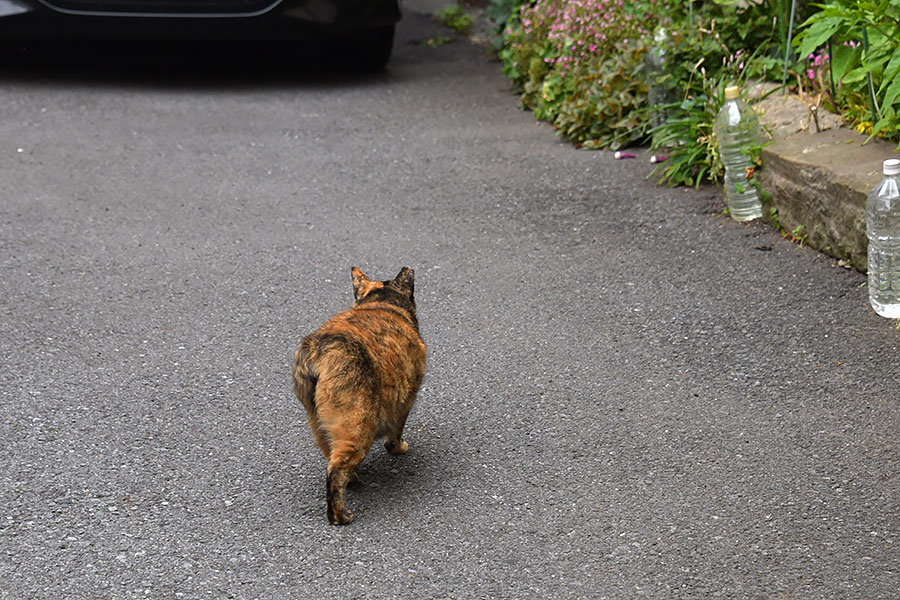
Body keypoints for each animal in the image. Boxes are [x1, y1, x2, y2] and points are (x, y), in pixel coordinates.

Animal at [292, 268, 426, 524]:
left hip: (319, 425)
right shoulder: (405, 402)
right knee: (335, 471)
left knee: (332, 458)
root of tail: (319, 350)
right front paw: (398, 448)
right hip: (358, 425)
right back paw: (341, 516)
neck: (380, 303)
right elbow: (396, 432)